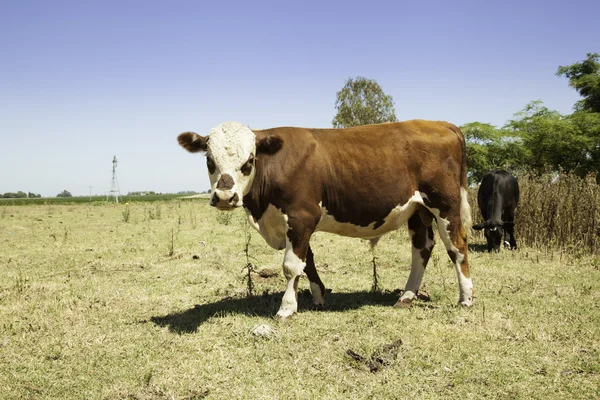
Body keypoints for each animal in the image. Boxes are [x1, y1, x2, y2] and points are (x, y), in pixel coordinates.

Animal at [178, 119, 474, 318]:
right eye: (209, 160)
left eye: (249, 161)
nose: (224, 196)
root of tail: (441, 123)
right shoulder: (296, 223)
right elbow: (307, 261)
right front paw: (319, 297)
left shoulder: (301, 217)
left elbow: (291, 266)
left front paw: (287, 308)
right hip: (417, 210)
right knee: (422, 249)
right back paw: (407, 297)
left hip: (445, 205)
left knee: (457, 246)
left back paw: (466, 298)